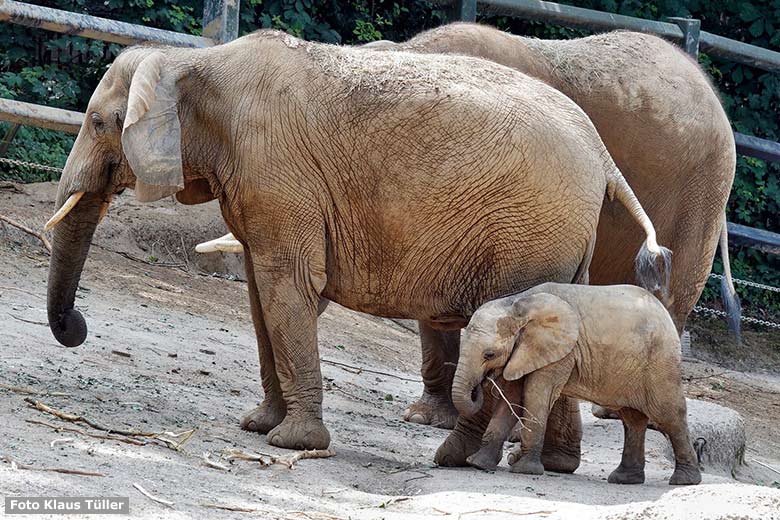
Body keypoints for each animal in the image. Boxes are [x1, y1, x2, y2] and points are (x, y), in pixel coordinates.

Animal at [42, 31, 668, 456]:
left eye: (98, 122)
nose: (77, 327)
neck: (192, 60)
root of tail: (601, 152)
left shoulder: (277, 172)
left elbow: (288, 284)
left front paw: (292, 443)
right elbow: (261, 293)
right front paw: (258, 426)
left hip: (529, 233)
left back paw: (460, 459)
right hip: (561, 237)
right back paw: (553, 466)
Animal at [450, 282, 700, 486]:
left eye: (489, 355)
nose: (480, 384)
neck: (518, 303)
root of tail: (665, 313)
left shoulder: (560, 353)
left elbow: (536, 396)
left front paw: (524, 470)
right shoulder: (523, 352)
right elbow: (511, 400)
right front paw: (478, 464)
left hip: (660, 361)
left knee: (669, 415)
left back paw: (684, 481)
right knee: (633, 420)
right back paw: (624, 479)